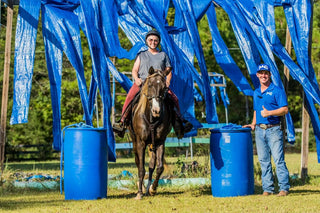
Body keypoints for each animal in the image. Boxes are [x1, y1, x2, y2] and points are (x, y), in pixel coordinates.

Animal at [127, 66, 172, 200]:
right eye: (150, 85)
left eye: (164, 87)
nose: (156, 110)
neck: (151, 119)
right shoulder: (141, 143)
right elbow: (141, 168)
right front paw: (139, 193)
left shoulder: (160, 142)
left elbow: (159, 167)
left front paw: (153, 189)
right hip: (135, 142)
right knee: (138, 163)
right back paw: (141, 188)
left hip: (152, 145)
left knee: (152, 165)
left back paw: (147, 189)